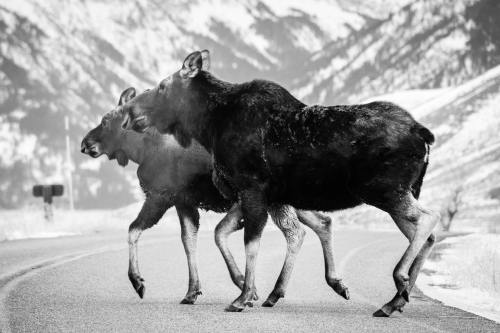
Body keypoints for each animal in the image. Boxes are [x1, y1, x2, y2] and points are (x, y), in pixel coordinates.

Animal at [82, 87, 348, 306]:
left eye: (106, 121)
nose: (85, 144)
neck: (141, 150)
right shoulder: (184, 201)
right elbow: (189, 240)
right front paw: (193, 291)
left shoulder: (160, 195)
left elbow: (134, 229)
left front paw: (138, 281)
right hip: (293, 198)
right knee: (322, 222)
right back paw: (335, 283)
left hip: (279, 200)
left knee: (296, 232)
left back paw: (276, 292)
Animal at [123, 48, 440, 314]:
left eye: (163, 86)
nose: (131, 112)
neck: (210, 125)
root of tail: (423, 133)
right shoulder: (261, 196)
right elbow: (236, 235)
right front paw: (251, 292)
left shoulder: (251, 189)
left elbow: (251, 243)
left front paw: (242, 297)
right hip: (402, 191)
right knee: (423, 234)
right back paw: (396, 299)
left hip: (384, 190)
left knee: (429, 219)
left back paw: (398, 281)